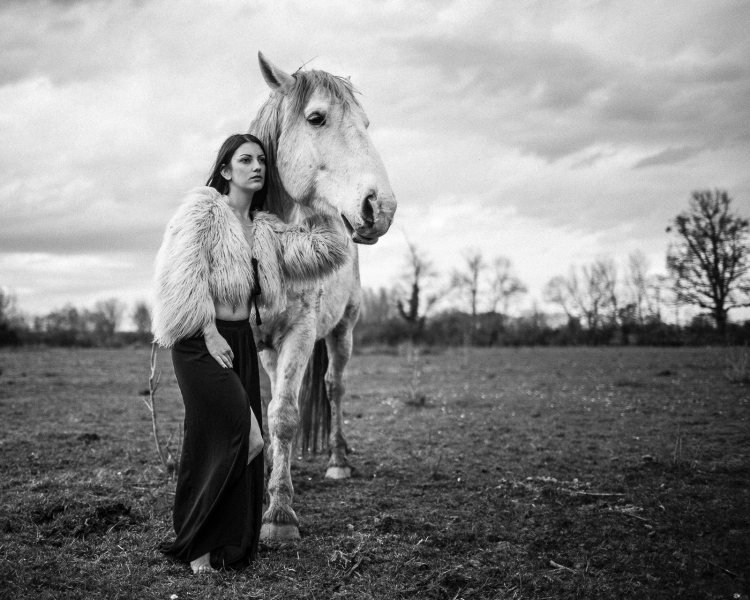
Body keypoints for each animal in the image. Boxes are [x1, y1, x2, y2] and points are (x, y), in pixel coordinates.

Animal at [250, 52, 396, 540]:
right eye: (317, 118)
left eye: (366, 123)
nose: (381, 207)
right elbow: (266, 409)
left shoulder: (299, 331)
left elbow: (284, 415)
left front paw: (278, 515)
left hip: (342, 330)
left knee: (334, 387)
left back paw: (337, 460)